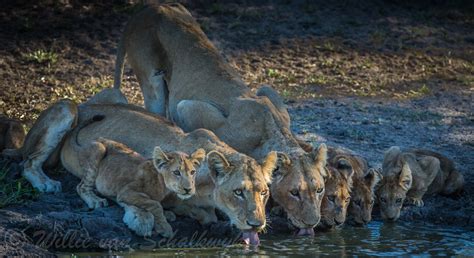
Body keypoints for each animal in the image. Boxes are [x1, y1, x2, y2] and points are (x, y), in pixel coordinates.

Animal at [64, 121, 204, 238]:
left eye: (192, 172)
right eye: (176, 172)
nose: (188, 189)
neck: (164, 186)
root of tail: (94, 139)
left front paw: (167, 214)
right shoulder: (126, 192)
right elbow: (155, 204)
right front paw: (164, 228)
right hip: (98, 149)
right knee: (81, 187)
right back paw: (96, 201)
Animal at [114, 3, 328, 236]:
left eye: (319, 189)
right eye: (294, 192)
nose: (312, 222)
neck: (271, 130)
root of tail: (148, 7)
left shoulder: (267, 91)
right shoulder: (188, 109)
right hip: (153, 84)